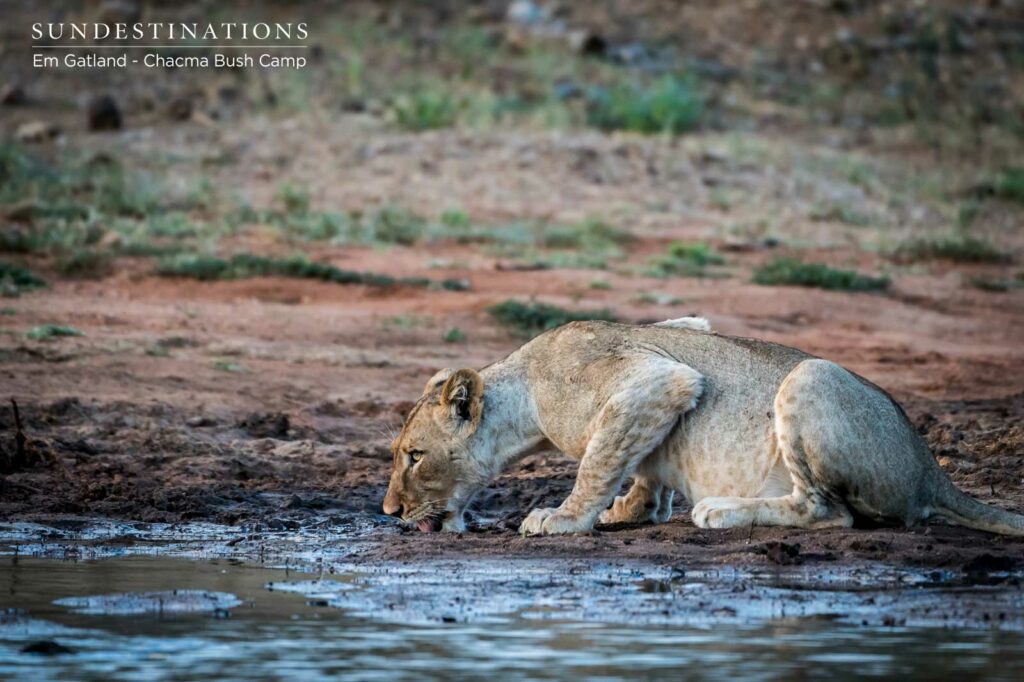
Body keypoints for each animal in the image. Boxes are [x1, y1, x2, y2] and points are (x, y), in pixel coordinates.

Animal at [382, 318, 1024, 537]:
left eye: (414, 456)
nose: (389, 511)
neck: (524, 396)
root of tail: (931, 470)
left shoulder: (657, 377)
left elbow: (597, 461)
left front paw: (564, 518)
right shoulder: (682, 333)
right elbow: (637, 462)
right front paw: (634, 509)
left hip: (810, 377)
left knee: (828, 511)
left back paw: (721, 510)